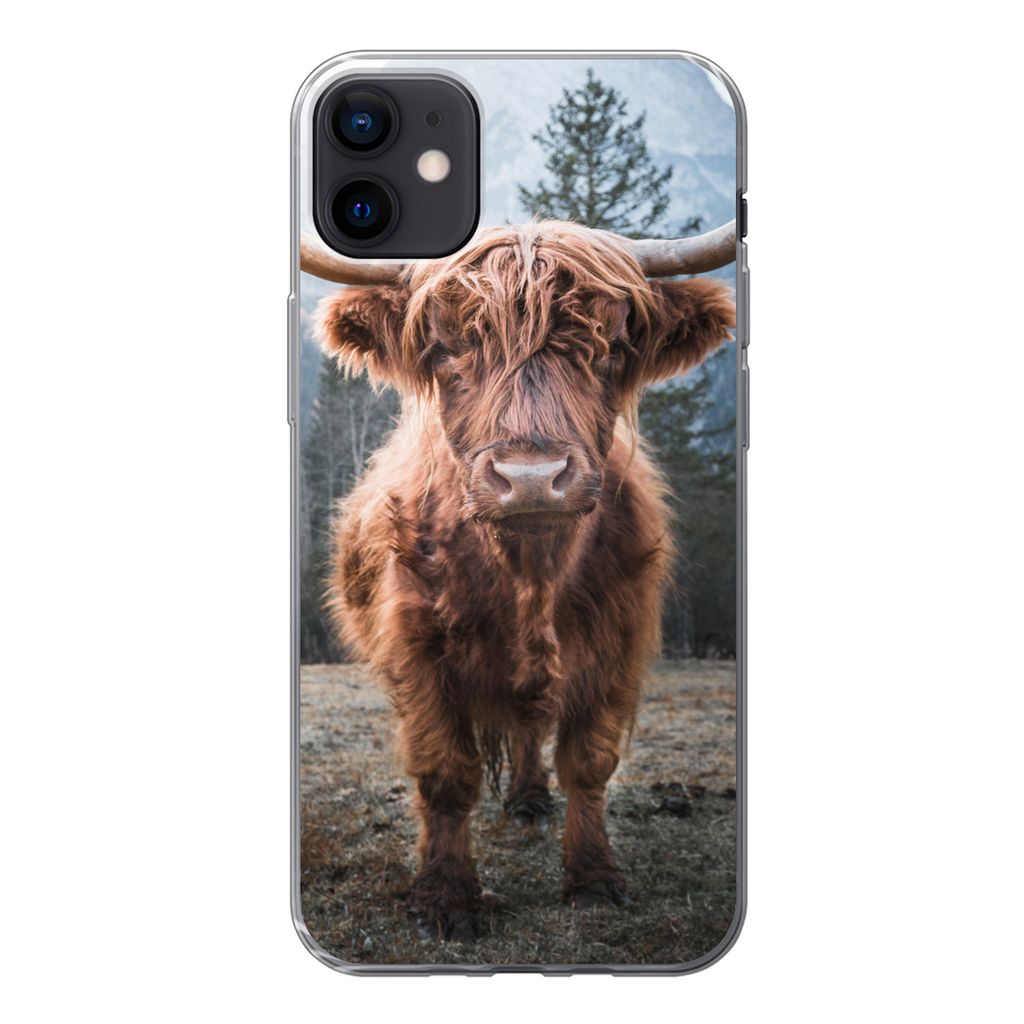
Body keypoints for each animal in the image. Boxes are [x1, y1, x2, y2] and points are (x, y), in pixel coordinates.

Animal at [301, 218, 737, 940]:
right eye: (445, 346)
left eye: (610, 344)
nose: (531, 479)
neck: (530, 576)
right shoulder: (417, 651)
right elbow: (446, 773)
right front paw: (444, 899)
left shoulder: (619, 643)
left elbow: (588, 764)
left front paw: (594, 879)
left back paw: (532, 800)